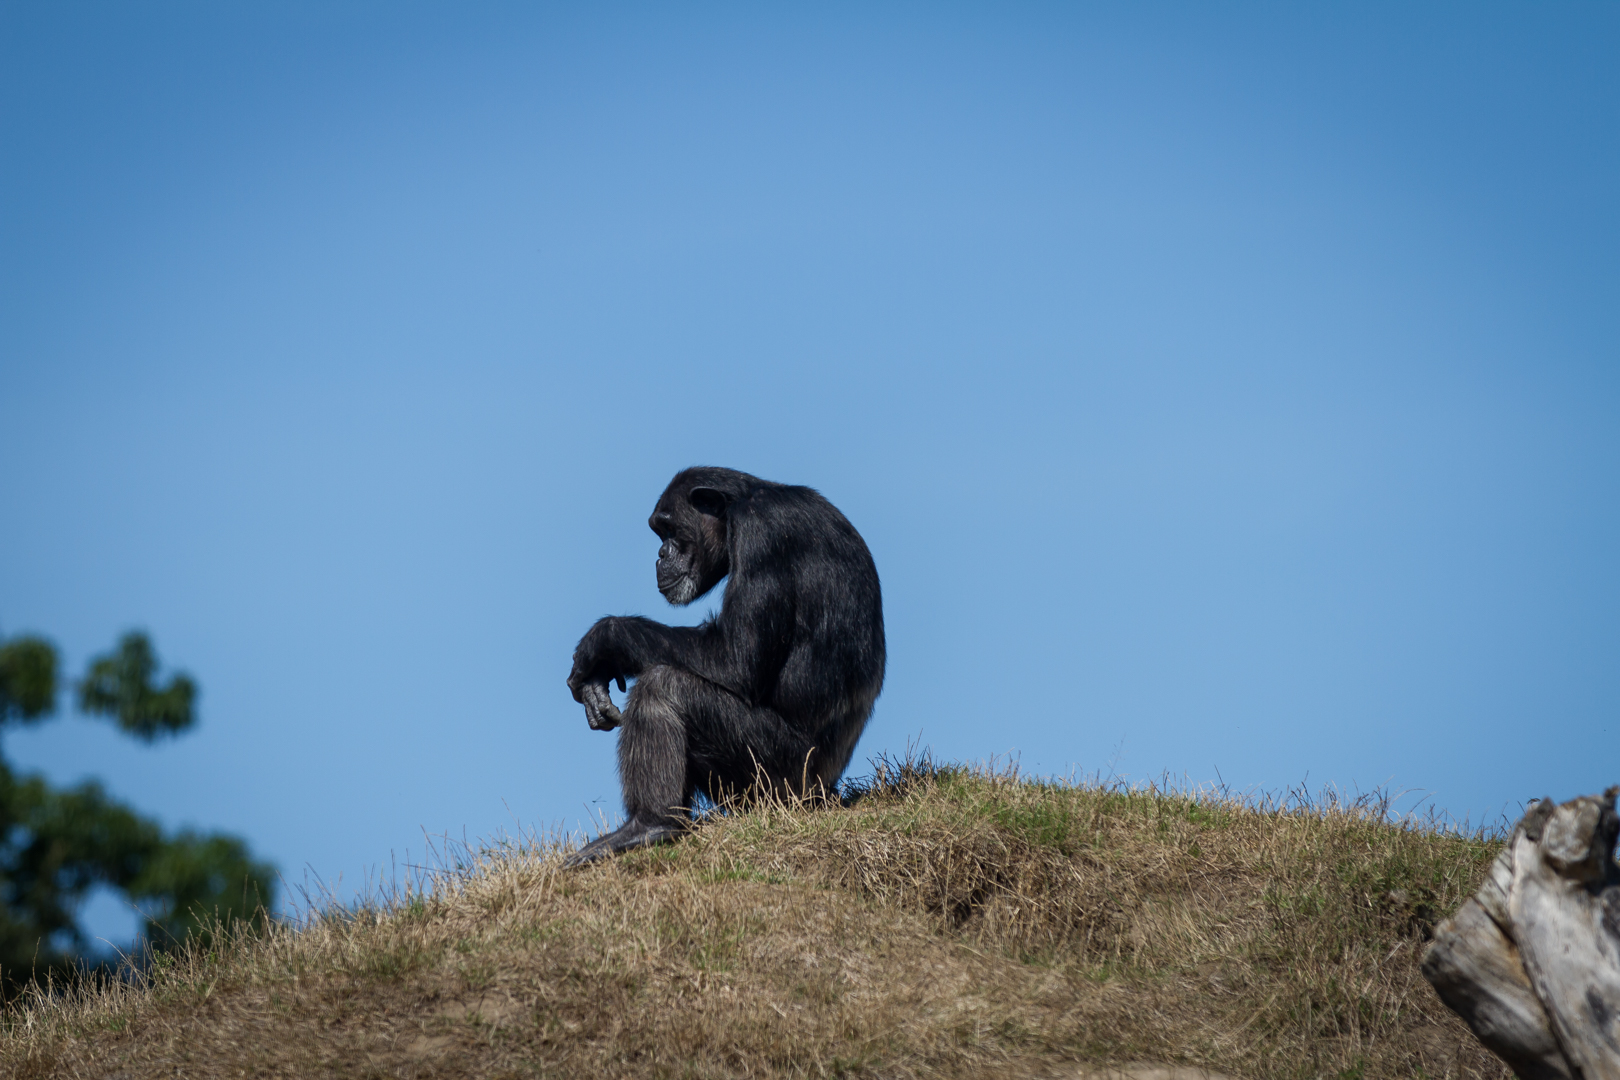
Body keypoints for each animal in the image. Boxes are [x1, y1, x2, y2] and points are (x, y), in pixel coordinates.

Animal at [560, 469, 887, 867]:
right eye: (659, 532)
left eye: (669, 528)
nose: (661, 553)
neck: (741, 503)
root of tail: (825, 792)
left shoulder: (761, 533)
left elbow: (735, 659)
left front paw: (600, 643)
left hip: (780, 777)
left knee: (664, 685)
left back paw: (649, 825)